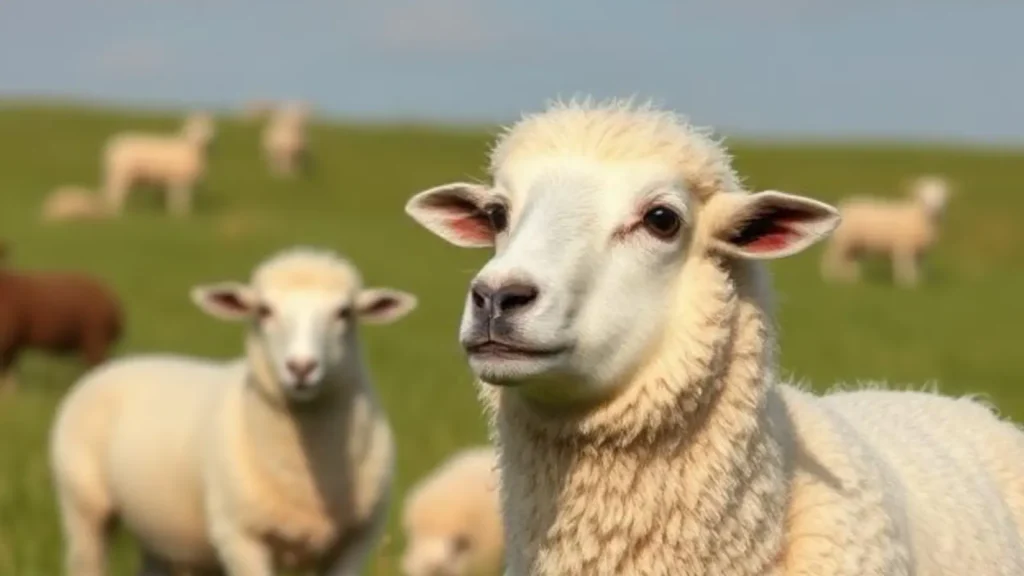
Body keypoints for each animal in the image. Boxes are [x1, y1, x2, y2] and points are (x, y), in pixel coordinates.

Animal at [49, 246, 418, 576]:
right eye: (264, 310)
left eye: (344, 312)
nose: (301, 367)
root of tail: (121, 364)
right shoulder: (239, 537)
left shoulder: (358, 540)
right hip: (83, 505)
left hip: (159, 530)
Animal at [820, 174, 951, 287]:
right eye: (922, 195)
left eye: (942, 196)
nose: (934, 208)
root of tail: (844, 203)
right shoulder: (903, 246)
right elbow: (905, 267)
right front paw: (907, 285)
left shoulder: (920, 251)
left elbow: (918, 268)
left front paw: (917, 283)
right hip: (842, 240)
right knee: (831, 257)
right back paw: (831, 278)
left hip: (854, 242)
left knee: (848, 259)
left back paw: (852, 278)